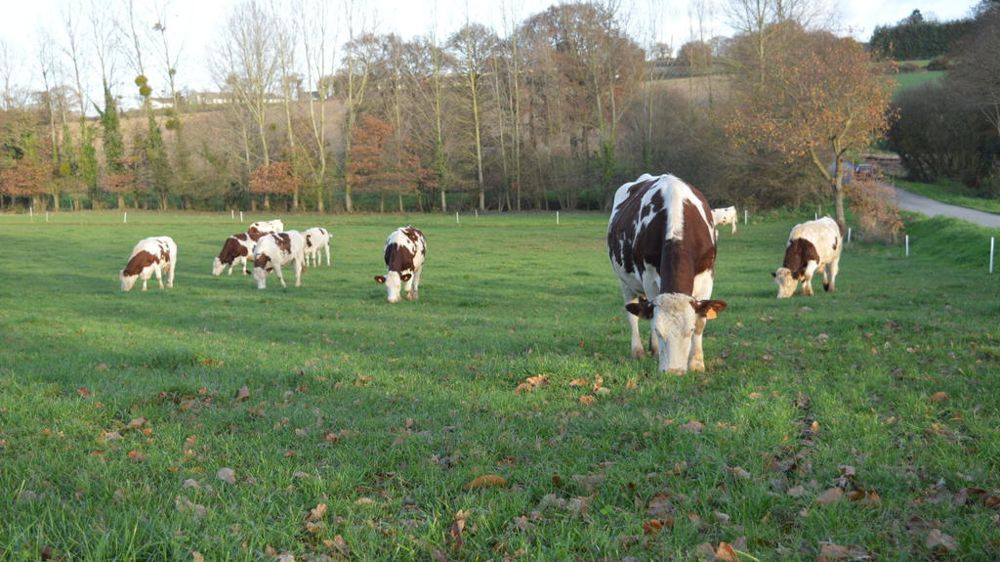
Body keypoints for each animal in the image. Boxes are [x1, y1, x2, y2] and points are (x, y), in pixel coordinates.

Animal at [607, 173, 727, 373]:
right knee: (632, 315)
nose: (674, 372)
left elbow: (701, 320)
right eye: (659, 331)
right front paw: (656, 350)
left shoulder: (707, 276)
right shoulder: (648, 278)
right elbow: (649, 315)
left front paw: (696, 363)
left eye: (690, 331)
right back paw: (638, 351)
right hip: (624, 281)